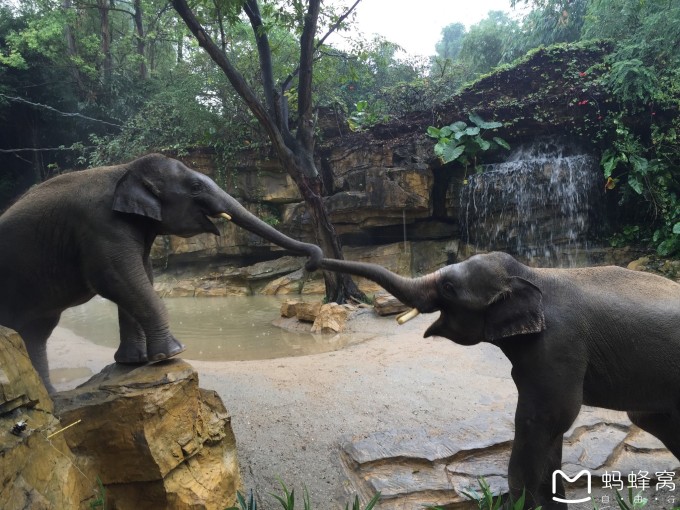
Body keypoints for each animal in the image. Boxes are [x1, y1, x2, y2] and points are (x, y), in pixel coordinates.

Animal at [0, 153, 322, 392]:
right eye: (195, 186)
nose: (311, 262)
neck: (124, 169)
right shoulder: (99, 226)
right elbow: (118, 279)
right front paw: (171, 354)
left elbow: (140, 277)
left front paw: (135, 362)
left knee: (35, 333)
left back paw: (51, 398)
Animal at [318, 253, 680, 508]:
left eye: (448, 287)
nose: (312, 257)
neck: (531, 273)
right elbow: (548, 431)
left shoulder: (558, 345)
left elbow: (545, 419)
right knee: (651, 418)